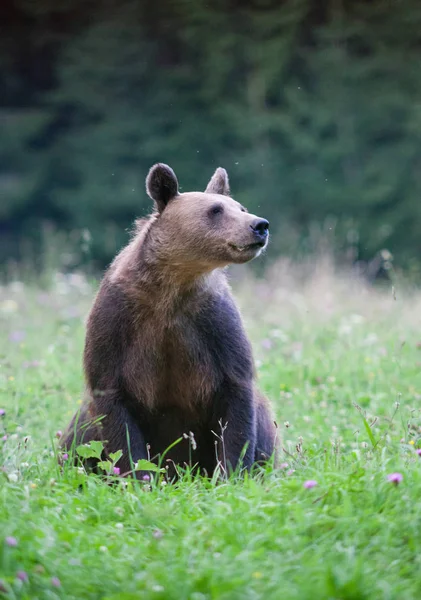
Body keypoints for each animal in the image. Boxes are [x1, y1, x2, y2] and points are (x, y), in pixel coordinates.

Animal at [62, 164, 278, 478]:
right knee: (78, 437)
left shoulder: (212, 324)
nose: (260, 225)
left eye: (241, 207)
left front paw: (232, 472)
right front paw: (138, 475)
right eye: (215, 210)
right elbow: (114, 410)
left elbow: (237, 398)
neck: (172, 286)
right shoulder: (117, 323)